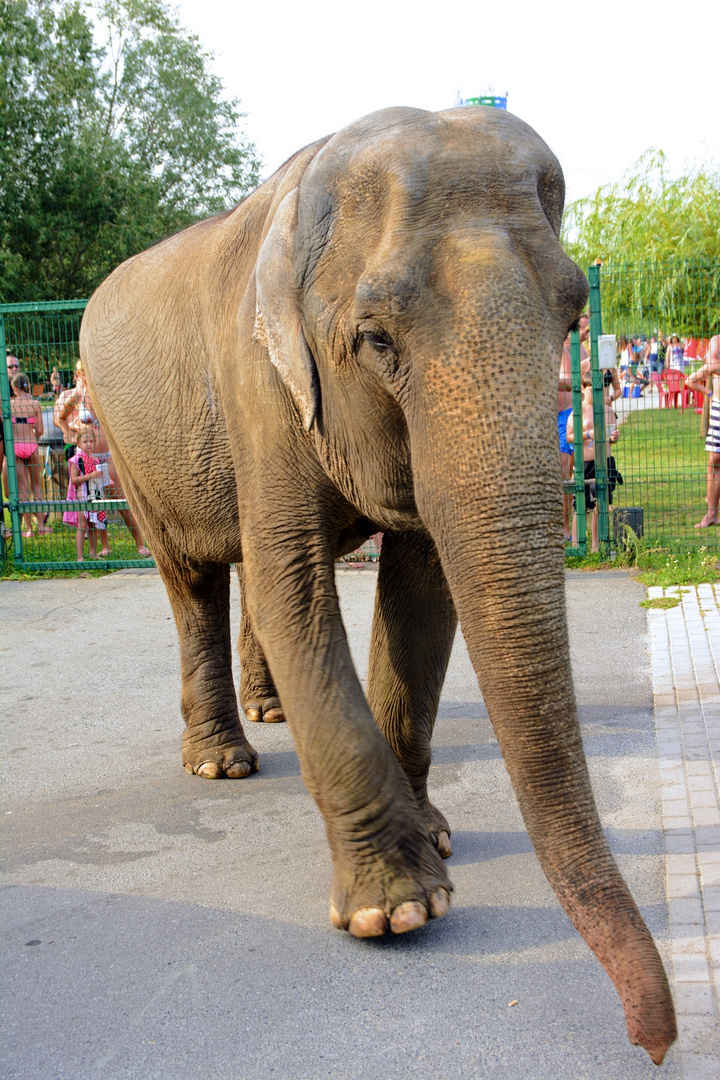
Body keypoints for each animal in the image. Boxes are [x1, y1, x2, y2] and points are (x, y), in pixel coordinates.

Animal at [81, 105, 677, 1067]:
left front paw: (433, 837)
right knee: (195, 577)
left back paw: (268, 711)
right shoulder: (257, 383)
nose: (653, 1045)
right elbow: (293, 586)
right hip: (127, 450)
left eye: (573, 313)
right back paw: (222, 761)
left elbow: (421, 593)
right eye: (376, 340)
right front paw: (398, 909)